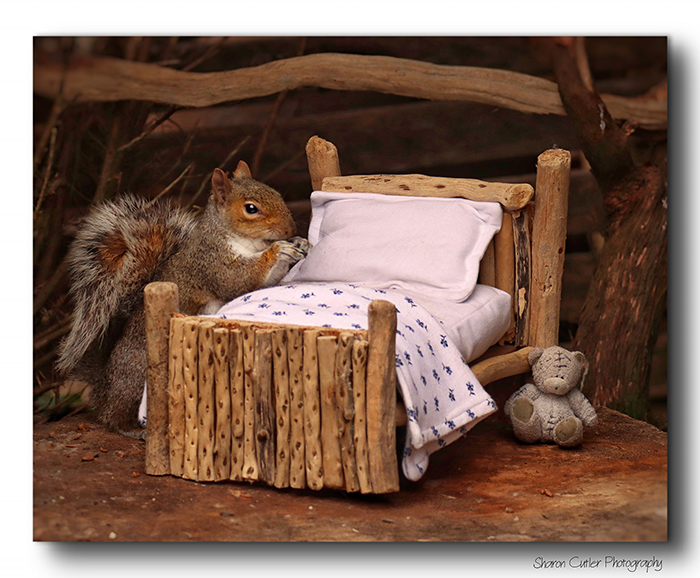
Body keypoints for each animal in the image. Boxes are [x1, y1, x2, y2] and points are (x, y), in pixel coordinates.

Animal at [56, 161, 310, 438]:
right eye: (251, 208)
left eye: (277, 194)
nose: (290, 229)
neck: (246, 242)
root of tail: (105, 385)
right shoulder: (211, 262)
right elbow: (238, 280)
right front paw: (278, 250)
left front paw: (299, 244)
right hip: (142, 374)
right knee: (115, 416)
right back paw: (133, 429)